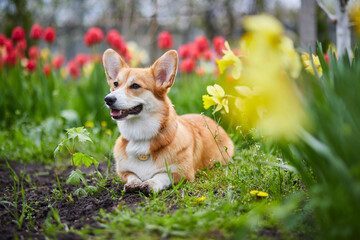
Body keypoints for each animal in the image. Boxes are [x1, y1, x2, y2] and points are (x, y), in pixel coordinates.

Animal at [102, 48, 235, 195]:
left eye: (135, 86)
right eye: (115, 84)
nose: (108, 99)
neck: (141, 137)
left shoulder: (182, 173)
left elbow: (162, 175)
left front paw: (150, 183)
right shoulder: (124, 172)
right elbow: (132, 176)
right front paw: (134, 184)